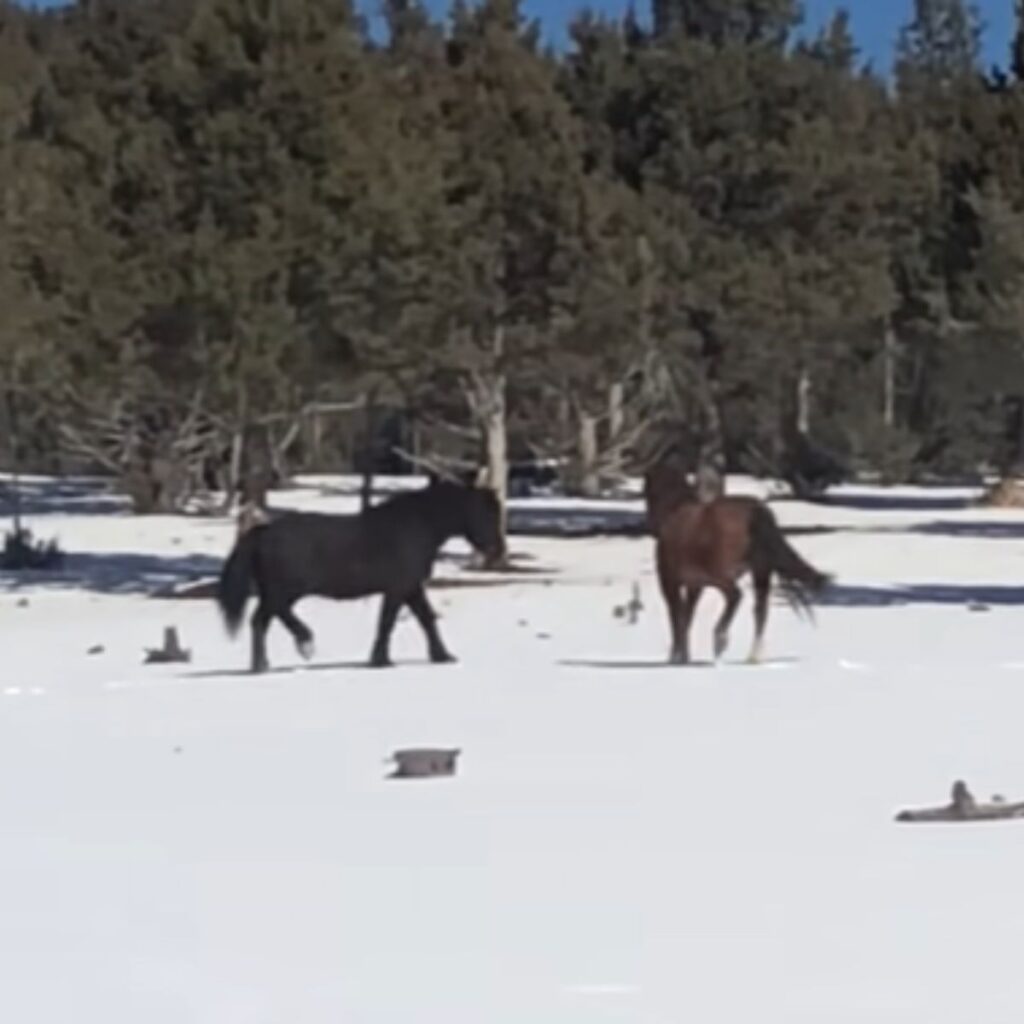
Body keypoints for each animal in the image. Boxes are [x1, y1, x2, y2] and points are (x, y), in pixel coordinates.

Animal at [216, 478, 505, 673]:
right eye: (484, 512)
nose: (496, 549)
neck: (417, 526)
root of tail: (262, 532)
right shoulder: (398, 588)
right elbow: (387, 622)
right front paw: (380, 660)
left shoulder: (411, 587)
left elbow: (426, 619)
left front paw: (442, 656)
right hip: (287, 590)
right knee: (275, 613)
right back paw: (304, 643)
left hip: (277, 591)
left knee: (261, 621)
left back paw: (261, 665)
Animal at [644, 455, 831, 665]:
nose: (649, 523)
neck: (675, 511)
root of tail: (755, 512)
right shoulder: (695, 586)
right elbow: (687, 617)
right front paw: (684, 655)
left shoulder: (669, 582)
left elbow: (676, 616)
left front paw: (676, 656)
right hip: (760, 571)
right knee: (760, 610)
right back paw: (753, 656)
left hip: (721, 575)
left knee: (735, 596)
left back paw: (721, 639)